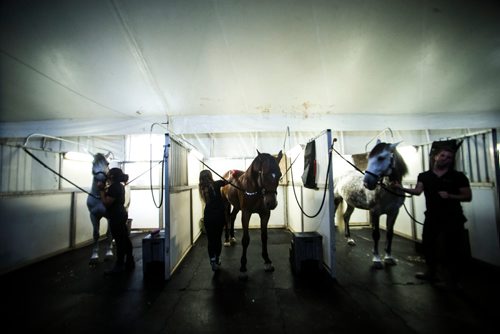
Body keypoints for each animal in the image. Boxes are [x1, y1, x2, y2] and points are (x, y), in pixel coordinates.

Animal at [222, 151, 284, 280]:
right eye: (264, 173)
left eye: (280, 174)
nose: (272, 203)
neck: (255, 190)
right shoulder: (246, 213)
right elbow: (246, 239)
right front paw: (243, 268)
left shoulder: (265, 214)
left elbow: (264, 237)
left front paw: (267, 261)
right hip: (226, 203)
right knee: (227, 219)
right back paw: (227, 240)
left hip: (236, 206)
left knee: (232, 217)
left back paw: (232, 238)